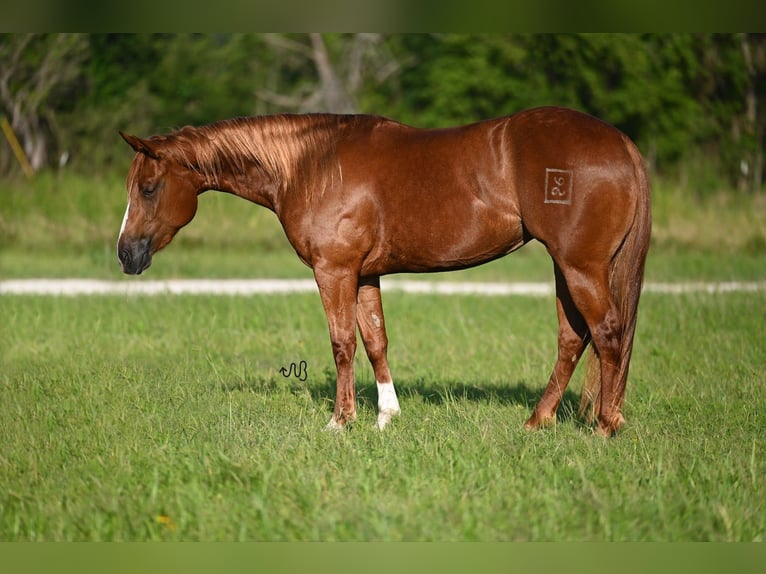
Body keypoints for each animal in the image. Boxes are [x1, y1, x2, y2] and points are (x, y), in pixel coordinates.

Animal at [117, 107, 652, 436]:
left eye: (148, 188)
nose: (125, 255)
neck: (311, 164)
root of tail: (621, 142)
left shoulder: (334, 270)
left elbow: (342, 343)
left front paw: (340, 421)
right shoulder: (365, 275)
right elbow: (375, 340)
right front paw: (386, 416)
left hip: (580, 267)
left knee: (607, 333)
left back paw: (604, 426)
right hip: (566, 268)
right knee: (573, 338)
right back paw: (538, 422)